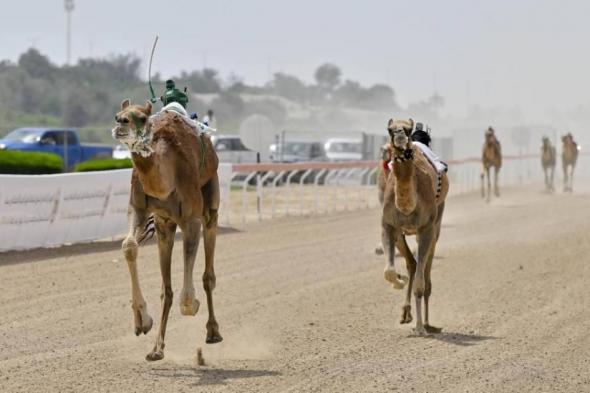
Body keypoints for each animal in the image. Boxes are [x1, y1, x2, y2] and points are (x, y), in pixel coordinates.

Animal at [112, 99, 223, 362]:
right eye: (118, 114)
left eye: (142, 118)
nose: (121, 124)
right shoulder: (140, 210)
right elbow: (128, 246)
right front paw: (142, 321)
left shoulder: (191, 218)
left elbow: (188, 295)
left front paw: (192, 305)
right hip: (165, 226)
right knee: (167, 288)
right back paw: (156, 349)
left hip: (210, 202)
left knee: (208, 275)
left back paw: (213, 332)